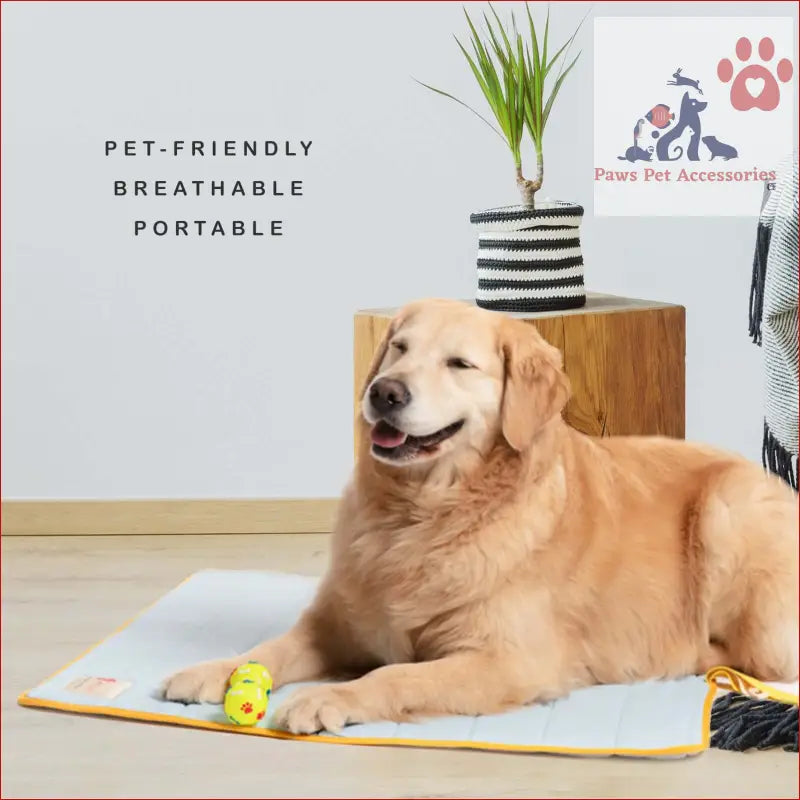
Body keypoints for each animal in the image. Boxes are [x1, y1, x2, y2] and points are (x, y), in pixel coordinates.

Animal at [159, 298, 796, 732]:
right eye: (399, 348)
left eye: (460, 364)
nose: (385, 392)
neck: (422, 513)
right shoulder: (334, 624)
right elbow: (269, 648)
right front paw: (212, 669)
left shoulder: (507, 660)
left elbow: (393, 673)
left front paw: (327, 696)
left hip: (727, 509)